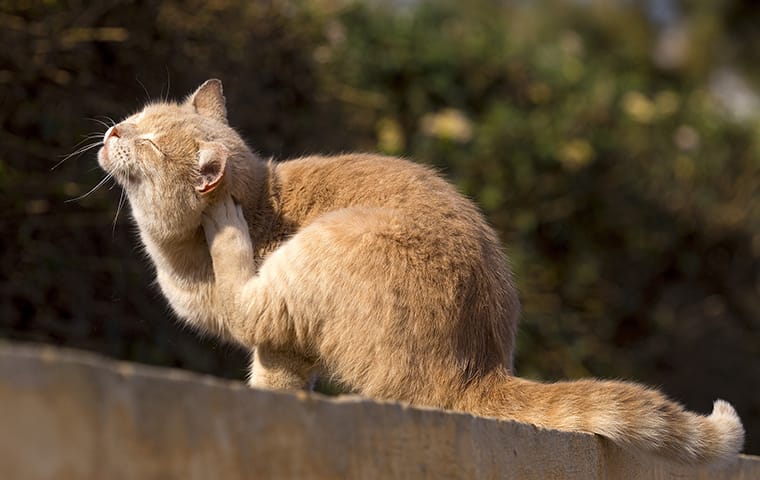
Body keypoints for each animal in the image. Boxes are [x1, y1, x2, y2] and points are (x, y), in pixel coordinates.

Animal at [96, 79, 744, 464]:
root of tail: (480, 371)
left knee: (247, 299)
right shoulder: (289, 351)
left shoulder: (277, 342)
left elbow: (269, 379)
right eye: (136, 117)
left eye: (150, 141)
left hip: (320, 250)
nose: (113, 130)